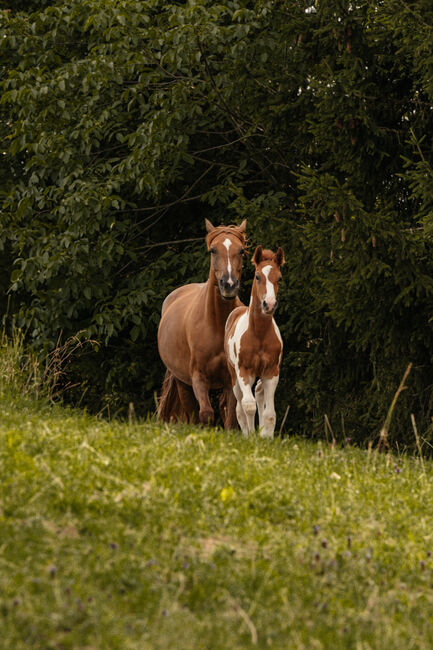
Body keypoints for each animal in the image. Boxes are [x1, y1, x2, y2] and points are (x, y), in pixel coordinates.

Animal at [158, 219, 246, 426]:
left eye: (241, 251)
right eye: (213, 250)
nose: (229, 285)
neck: (217, 324)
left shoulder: (230, 380)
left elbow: (231, 418)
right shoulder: (198, 377)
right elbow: (205, 414)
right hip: (182, 382)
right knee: (192, 413)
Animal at [223, 246, 284, 438]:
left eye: (279, 278)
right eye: (258, 276)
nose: (269, 304)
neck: (259, 335)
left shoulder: (271, 372)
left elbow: (270, 413)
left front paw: (267, 438)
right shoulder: (244, 371)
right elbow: (248, 406)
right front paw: (250, 437)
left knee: (258, 392)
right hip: (234, 376)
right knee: (240, 406)